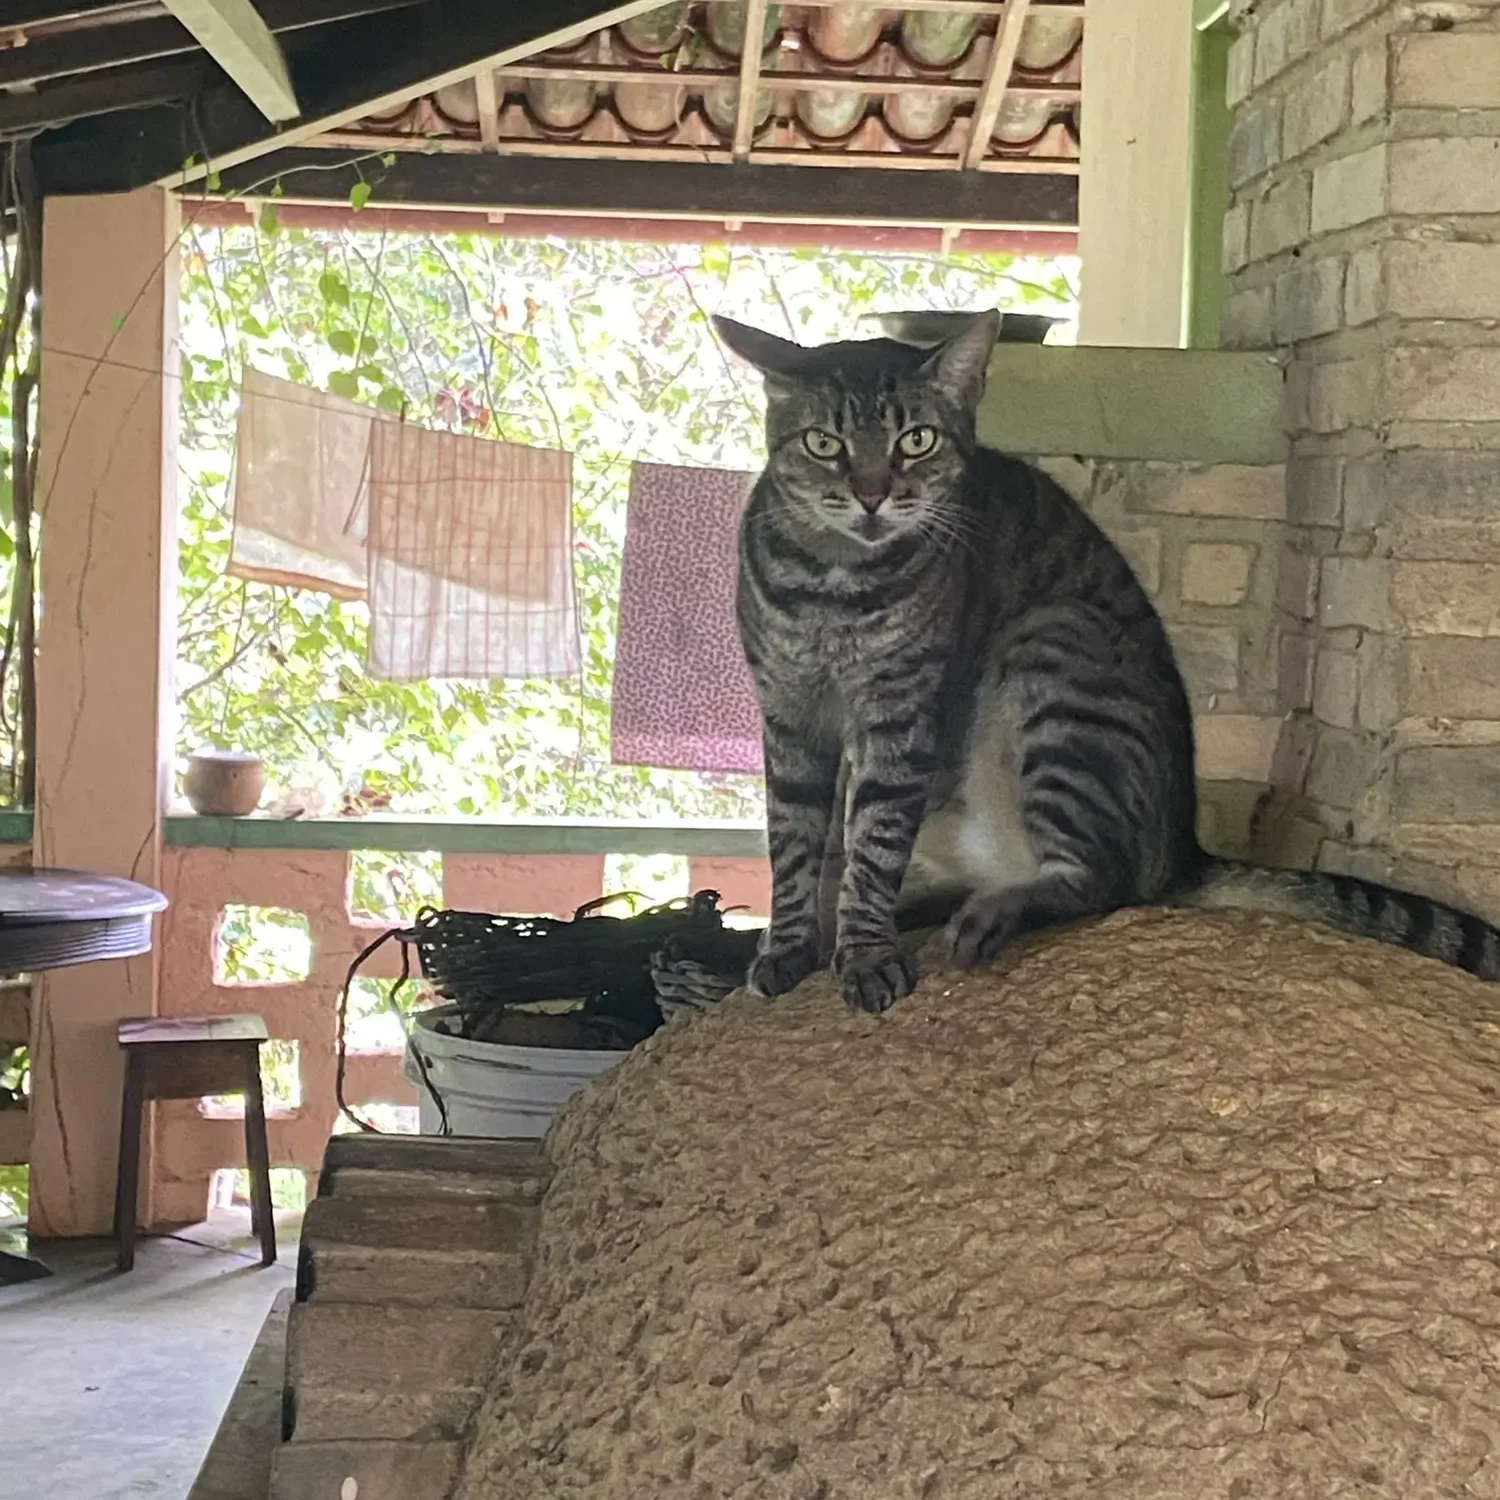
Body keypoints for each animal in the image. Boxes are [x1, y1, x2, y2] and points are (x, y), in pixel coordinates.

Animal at [714, 313, 1500, 1020]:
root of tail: (1184, 849)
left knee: (1100, 882)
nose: (874, 494)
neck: (833, 586)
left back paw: (991, 913)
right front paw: (789, 945)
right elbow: (795, 840)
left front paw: (865, 953)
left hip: (1055, 659)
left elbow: (872, 843)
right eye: (825, 443)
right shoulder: (787, 712)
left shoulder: (901, 713)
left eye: (917, 440)